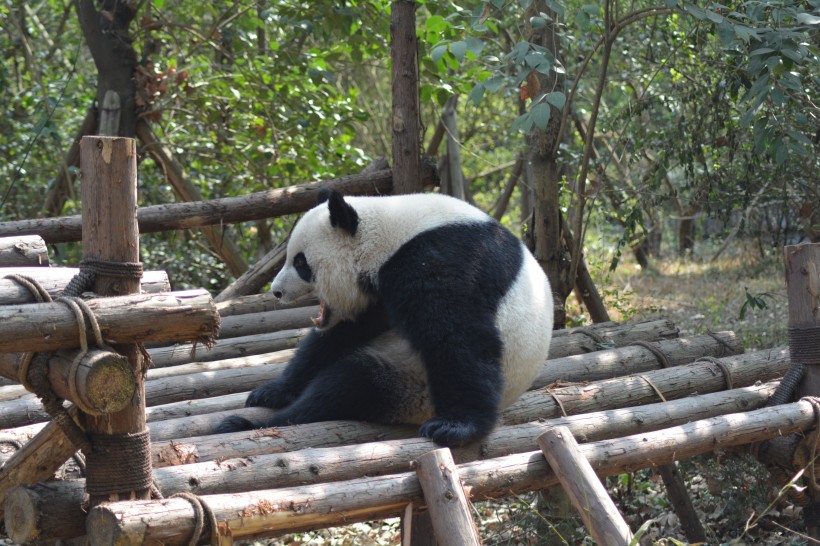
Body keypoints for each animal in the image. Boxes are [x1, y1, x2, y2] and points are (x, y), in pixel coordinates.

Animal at [218, 189, 556, 444]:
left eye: (301, 263)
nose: (276, 291)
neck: (387, 234)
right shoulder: (377, 295)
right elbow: (339, 335)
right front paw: (271, 390)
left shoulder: (443, 259)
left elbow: (457, 337)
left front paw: (456, 427)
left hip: (410, 384)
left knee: (346, 386)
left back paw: (247, 424)